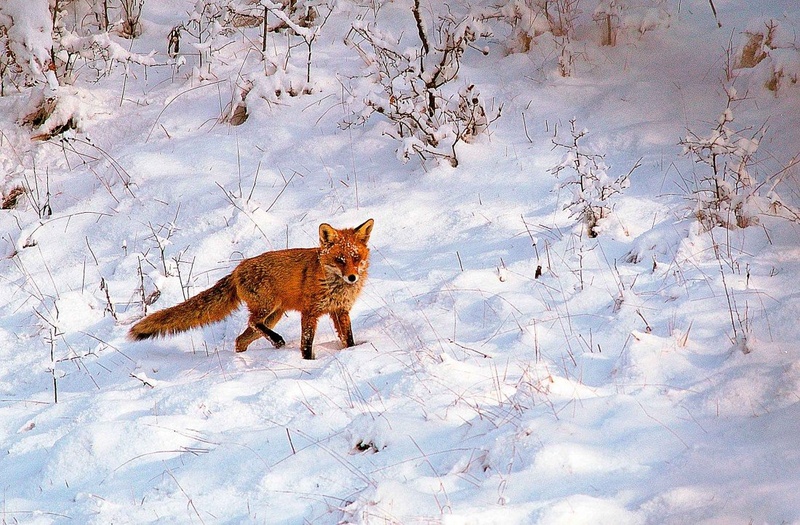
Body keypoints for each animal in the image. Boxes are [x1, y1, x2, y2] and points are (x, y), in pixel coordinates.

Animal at [128, 219, 374, 360]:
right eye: (340, 260)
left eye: (355, 258)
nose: (352, 277)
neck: (335, 285)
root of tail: (238, 269)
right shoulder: (310, 312)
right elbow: (306, 344)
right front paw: (308, 362)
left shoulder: (340, 311)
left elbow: (348, 339)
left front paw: (351, 352)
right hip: (268, 309)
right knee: (253, 323)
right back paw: (275, 342)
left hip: (273, 316)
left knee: (241, 339)